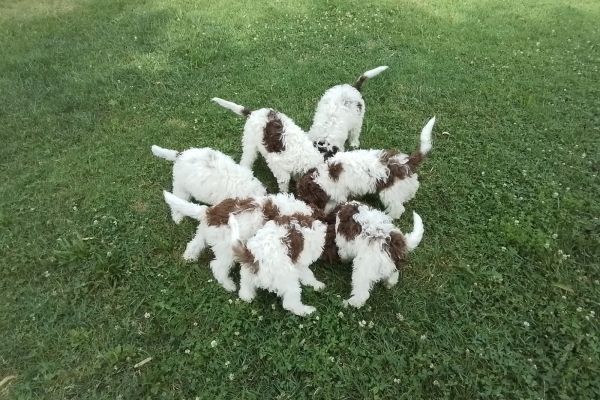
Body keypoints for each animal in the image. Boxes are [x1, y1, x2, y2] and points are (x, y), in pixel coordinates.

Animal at [162, 191, 316, 290]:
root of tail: (209, 213)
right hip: (226, 249)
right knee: (218, 266)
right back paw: (228, 285)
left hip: (203, 233)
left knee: (194, 244)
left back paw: (189, 257)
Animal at [296, 117, 434, 220]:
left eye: (306, 198)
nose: (303, 203)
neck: (320, 177)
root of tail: (406, 162)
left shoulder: (338, 193)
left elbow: (331, 204)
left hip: (389, 192)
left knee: (398, 208)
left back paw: (390, 216)